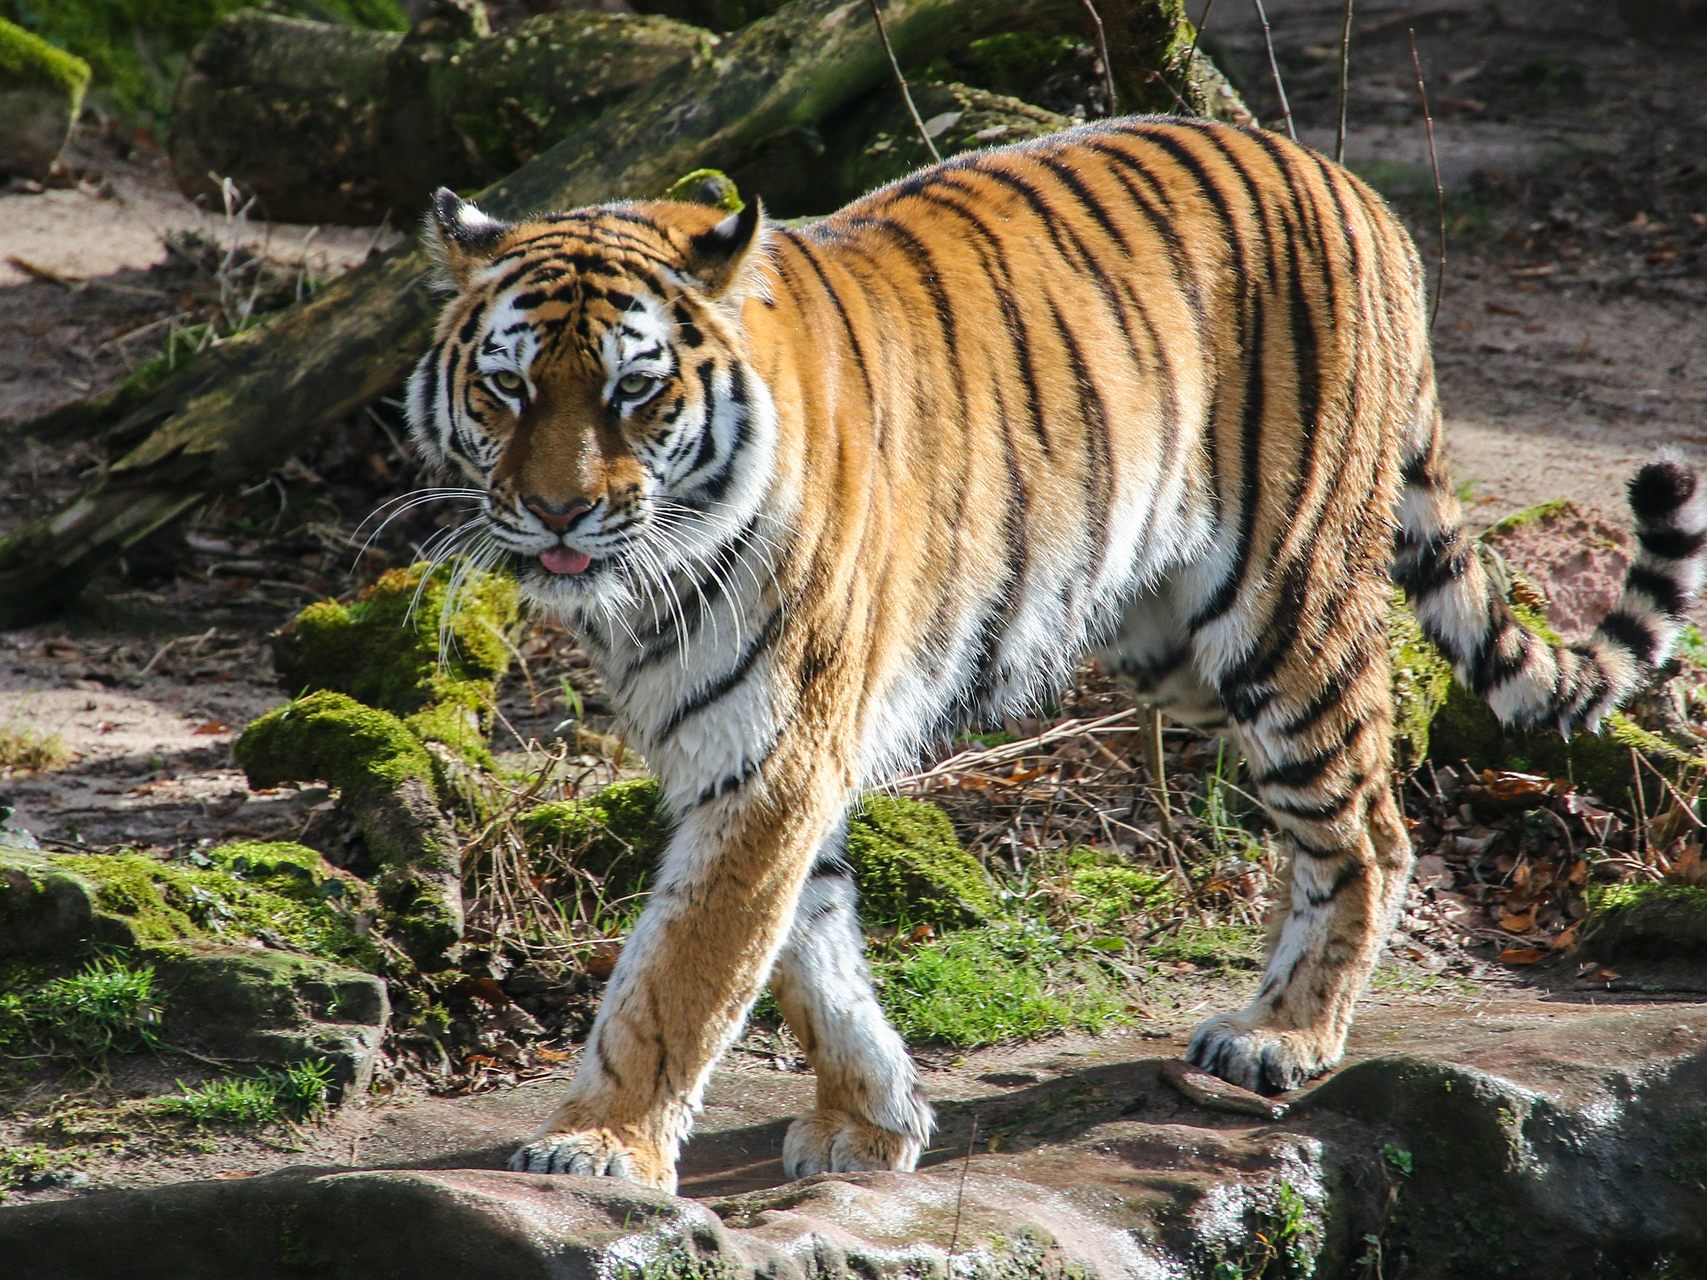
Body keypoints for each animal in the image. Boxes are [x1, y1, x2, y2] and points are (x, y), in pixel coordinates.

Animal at [402, 115, 1707, 1201]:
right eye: (507, 387)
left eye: (633, 391)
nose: (558, 514)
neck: (650, 578)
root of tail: (1348, 185)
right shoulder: (757, 754)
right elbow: (809, 949)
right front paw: (873, 1118)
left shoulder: (769, 752)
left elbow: (684, 972)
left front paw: (598, 1142)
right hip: (1171, 644)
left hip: (1282, 612)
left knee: (1372, 829)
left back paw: (1282, 1035)